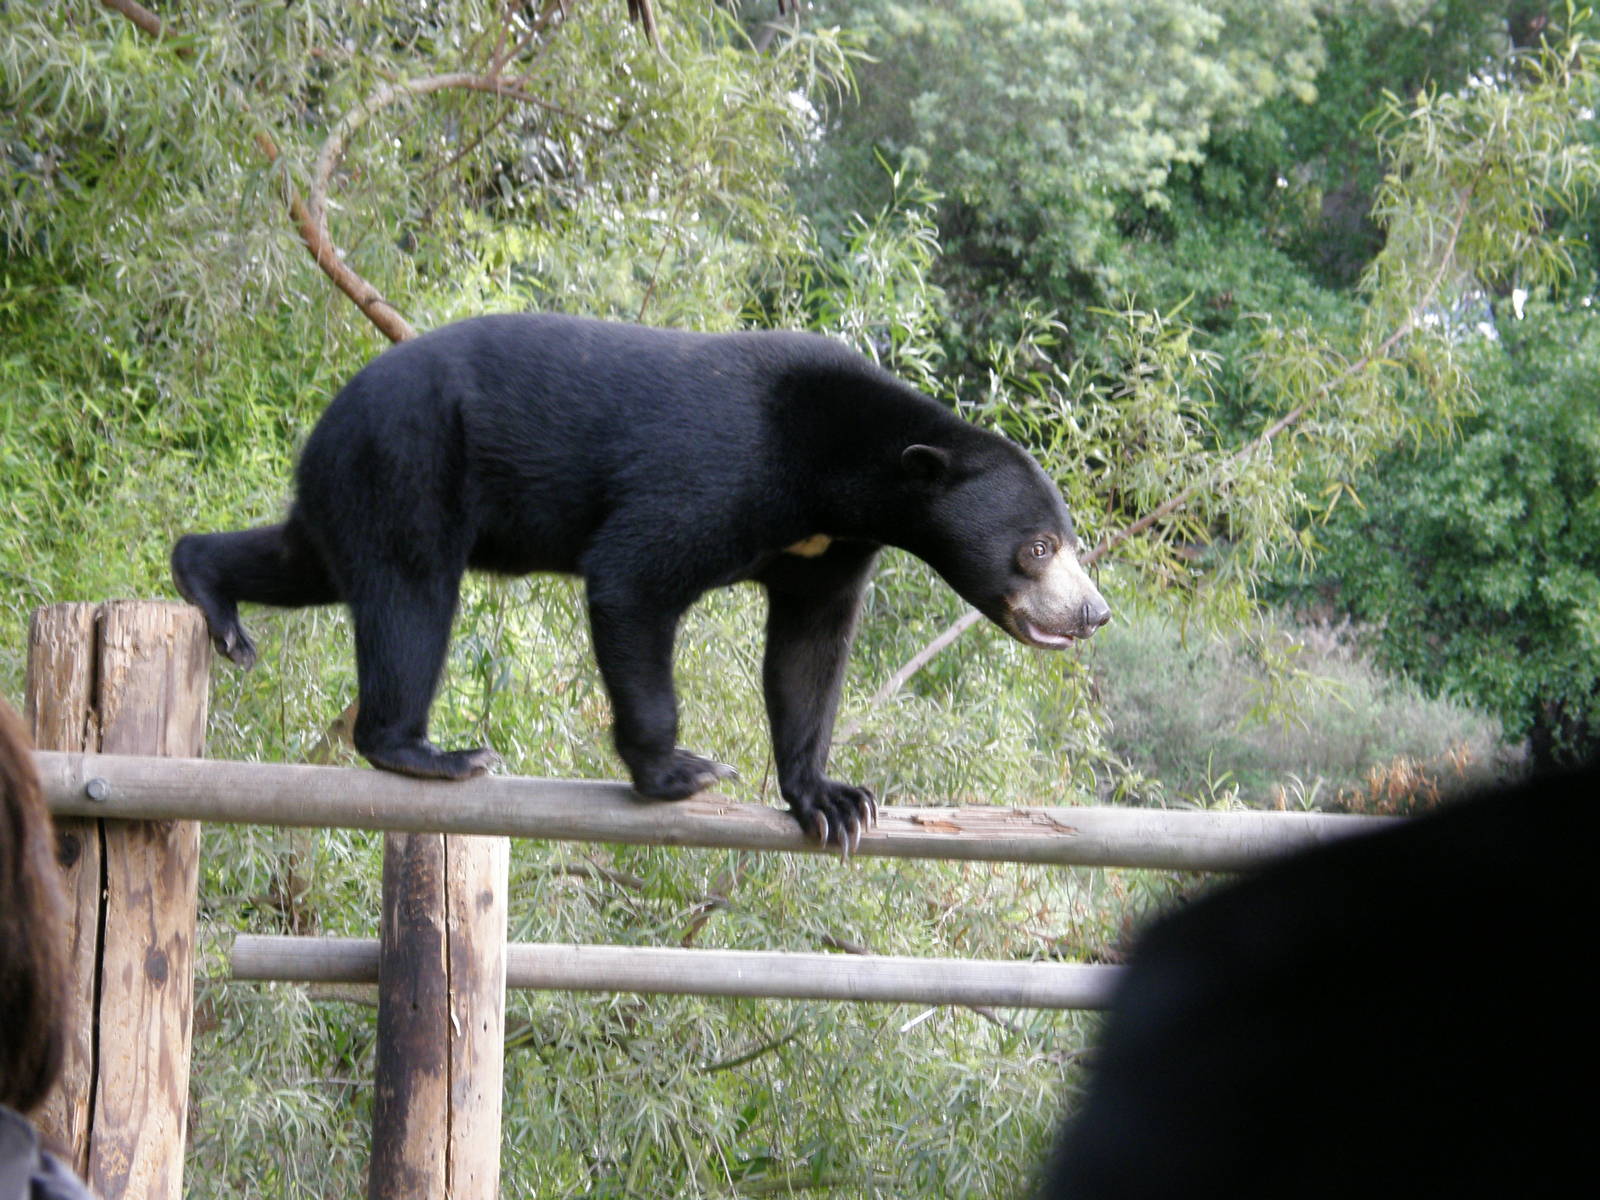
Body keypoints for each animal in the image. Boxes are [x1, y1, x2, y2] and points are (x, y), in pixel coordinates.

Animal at [172, 313, 1110, 850]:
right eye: (1034, 548)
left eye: (1072, 542)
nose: (1094, 613)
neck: (841, 477)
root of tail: (330, 412)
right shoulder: (723, 473)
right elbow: (634, 577)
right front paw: (678, 771)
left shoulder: (827, 549)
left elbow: (809, 652)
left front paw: (834, 800)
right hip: (410, 456)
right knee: (410, 593)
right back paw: (429, 752)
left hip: (353, 476)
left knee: (311, 560)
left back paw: (210, 591)